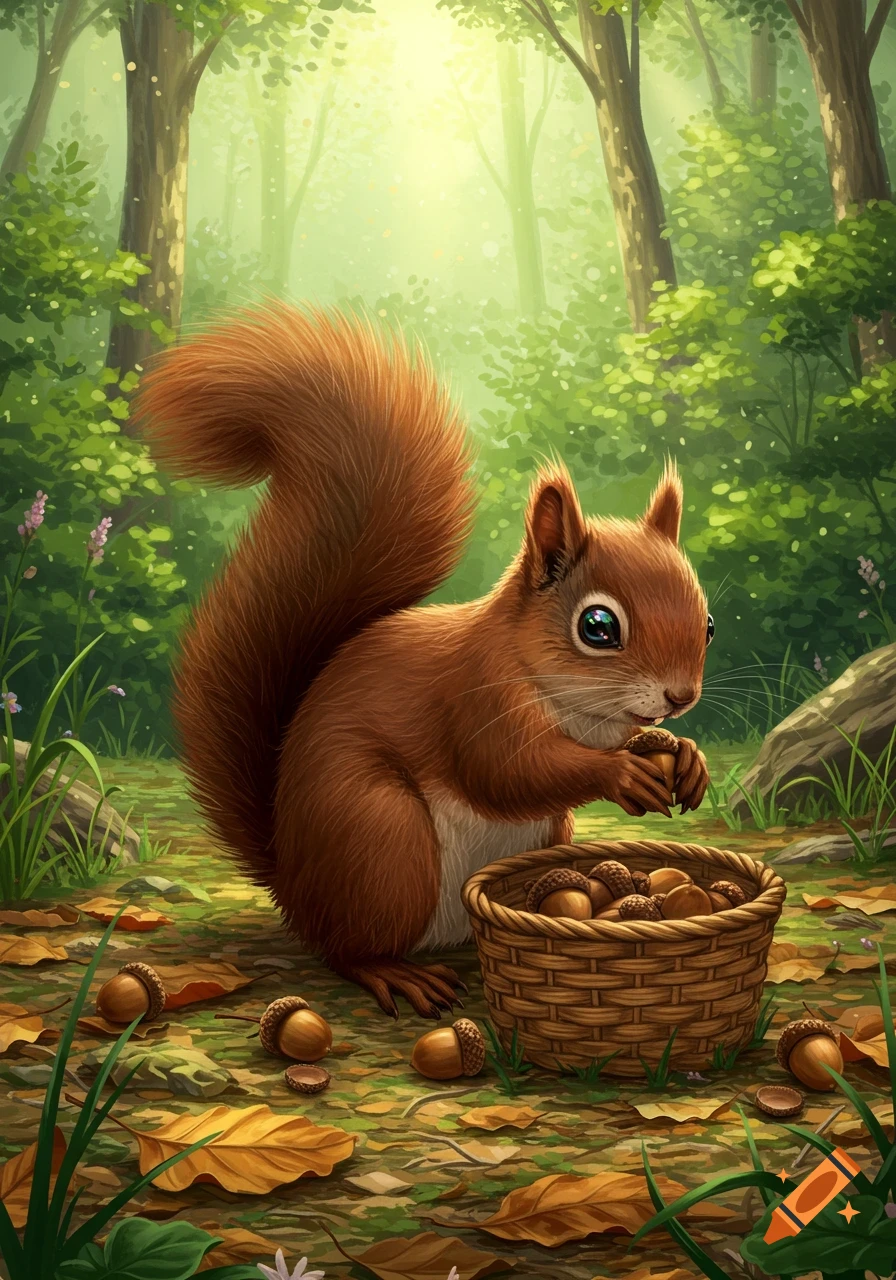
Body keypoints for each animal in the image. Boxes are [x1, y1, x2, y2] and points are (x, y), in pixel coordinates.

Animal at [135, 302, 712, 1019]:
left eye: (708, 623)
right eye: (598, 627)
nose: (681, 697)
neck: (579, 709)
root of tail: (291, 882)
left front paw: (685, 757)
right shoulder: (474, 697)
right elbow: (506, 772)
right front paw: (621, 773)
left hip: (540, 834)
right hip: (381, 835)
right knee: (345, 949)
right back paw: (395, 974)